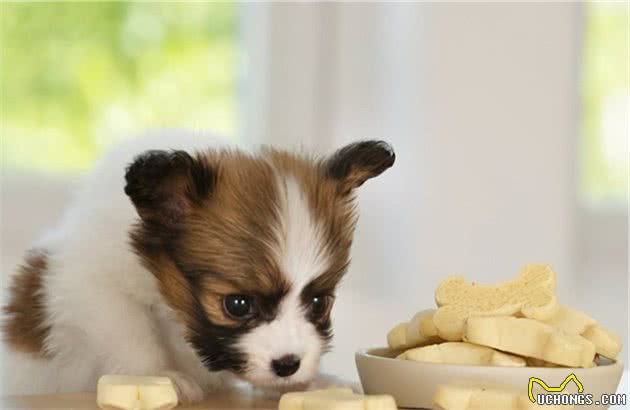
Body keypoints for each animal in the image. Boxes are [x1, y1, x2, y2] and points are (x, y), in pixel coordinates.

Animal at [0, 132, 396, 404]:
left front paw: (310, 385)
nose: (288, 365)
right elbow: (130, 332)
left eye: (319, 303)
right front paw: (155, 376)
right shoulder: (91, 286)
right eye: (236, 305)